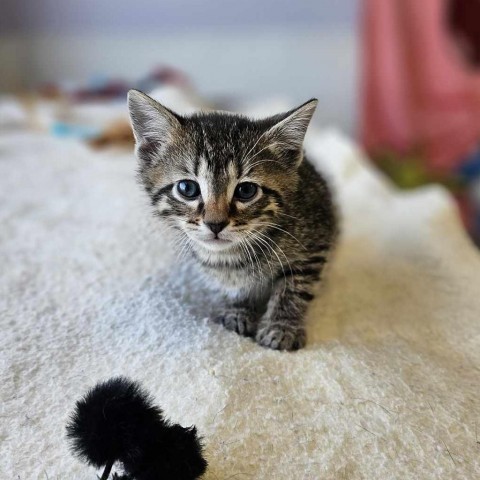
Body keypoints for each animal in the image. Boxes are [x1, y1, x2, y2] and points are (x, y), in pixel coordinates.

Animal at [128, 90, 338, 350]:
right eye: (187, 188)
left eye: (246, 191)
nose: (215, 224)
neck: (232, 256)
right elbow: (235, 288)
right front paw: (238, 311)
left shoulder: (316, 241)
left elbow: (294, 288)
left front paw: (281, 327)